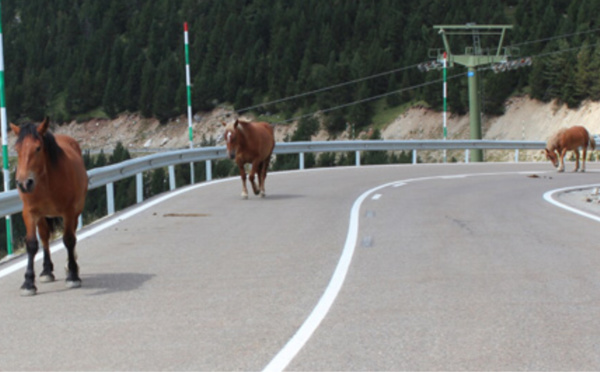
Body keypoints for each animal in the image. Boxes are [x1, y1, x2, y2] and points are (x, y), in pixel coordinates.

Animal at [11, 117, 88, 294]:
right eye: (17, 149)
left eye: (38, 148)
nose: (24, 183)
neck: (46, 182)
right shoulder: (29, 213)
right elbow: (32, 244)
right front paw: (28, 282)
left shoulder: (68, 211)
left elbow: (69, 240)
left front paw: (73, 275)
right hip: (42, 216)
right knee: (45, 237)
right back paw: (47, 270)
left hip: (76, 212)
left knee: (72, 235)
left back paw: (71, 266)